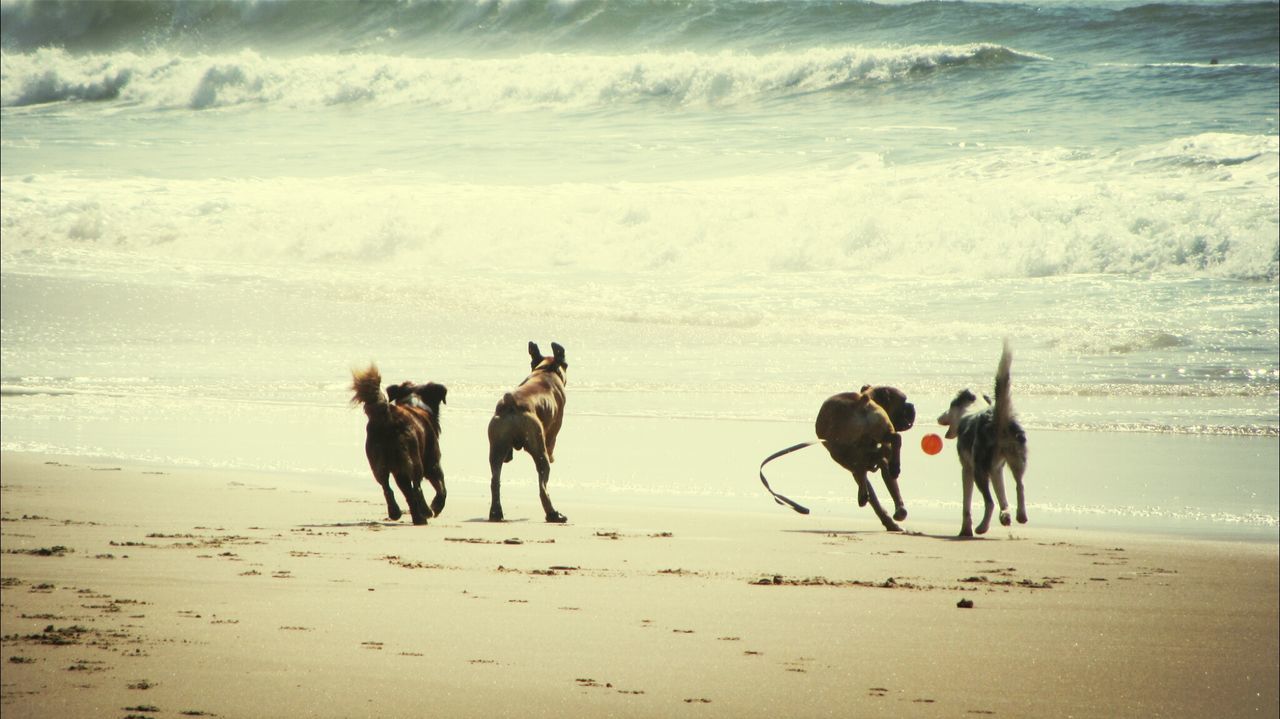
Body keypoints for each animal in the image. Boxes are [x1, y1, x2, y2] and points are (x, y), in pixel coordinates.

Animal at [353, 365, 448, 524]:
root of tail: (389, 417)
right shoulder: (433, 462)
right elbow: (442, 489)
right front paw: (436, 507)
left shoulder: (398, 470)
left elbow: (407, 491)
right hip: (414, 459)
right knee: (416, 488)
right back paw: (425, 513)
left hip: (379, 461)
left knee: (387, 488)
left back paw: (397, 513)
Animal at [486, 340, 568, 519]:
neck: (545, 371)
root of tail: (511, 404)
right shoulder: (553, 432)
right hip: (539, 450)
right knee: (542, 486)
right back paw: (553, 514)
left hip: (496, 448)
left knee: (495, 480)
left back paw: (496, 512)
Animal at [814, 383, 916, 529]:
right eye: (903, 402)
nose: (912, 406)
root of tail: (862, 401)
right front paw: (898, 513)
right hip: (880, 433)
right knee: (894, 440)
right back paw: (894, 467)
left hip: (843, 452)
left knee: (861, 469)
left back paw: (862, 495)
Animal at [936, 340, 1024, 537]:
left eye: (949, 406)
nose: (938, 417)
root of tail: (997, 420)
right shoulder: (997, 469)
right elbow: (1003, 496)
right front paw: (1005, 515)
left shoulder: (967, 469)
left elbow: (966, 504)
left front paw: (966, 530)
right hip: (1016, 459)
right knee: (1019, 486)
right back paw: (1019, 516)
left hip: (979, 469)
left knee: (989, 502)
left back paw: (982, 527)